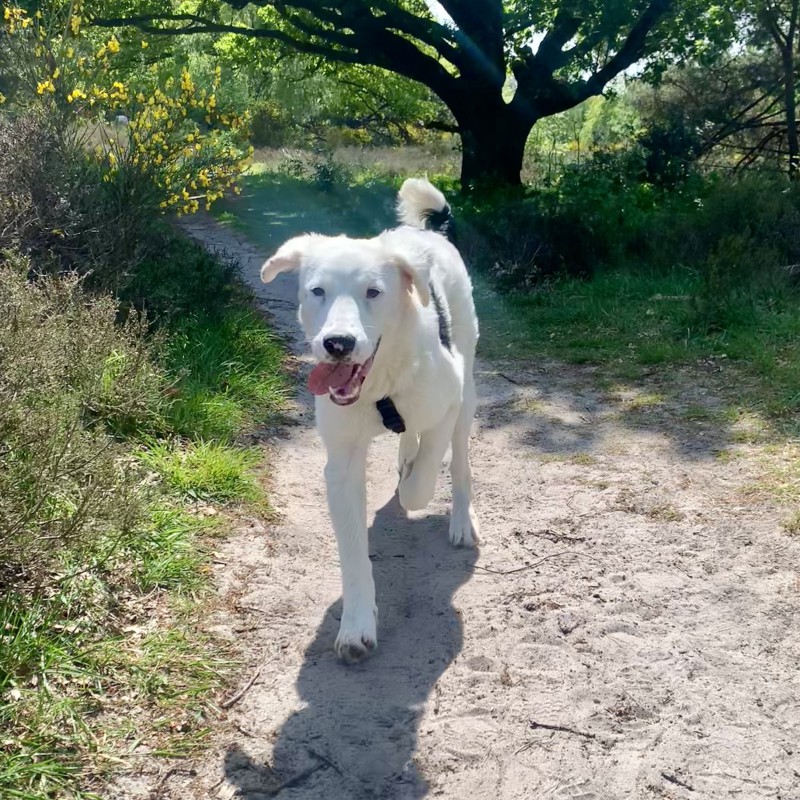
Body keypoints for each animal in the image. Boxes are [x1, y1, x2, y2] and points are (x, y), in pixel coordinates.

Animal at [260, 178, 479, 663]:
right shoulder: (341, 464)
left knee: (459, 465)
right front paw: (357, 625)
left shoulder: (447, 402)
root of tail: (424, 234)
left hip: (468, 391)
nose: (337, 343)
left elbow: (421, 483)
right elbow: (353, 555)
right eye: (317, 291)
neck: (381, 386)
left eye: (373, 292)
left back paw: (460, 520)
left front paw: (415, 479)